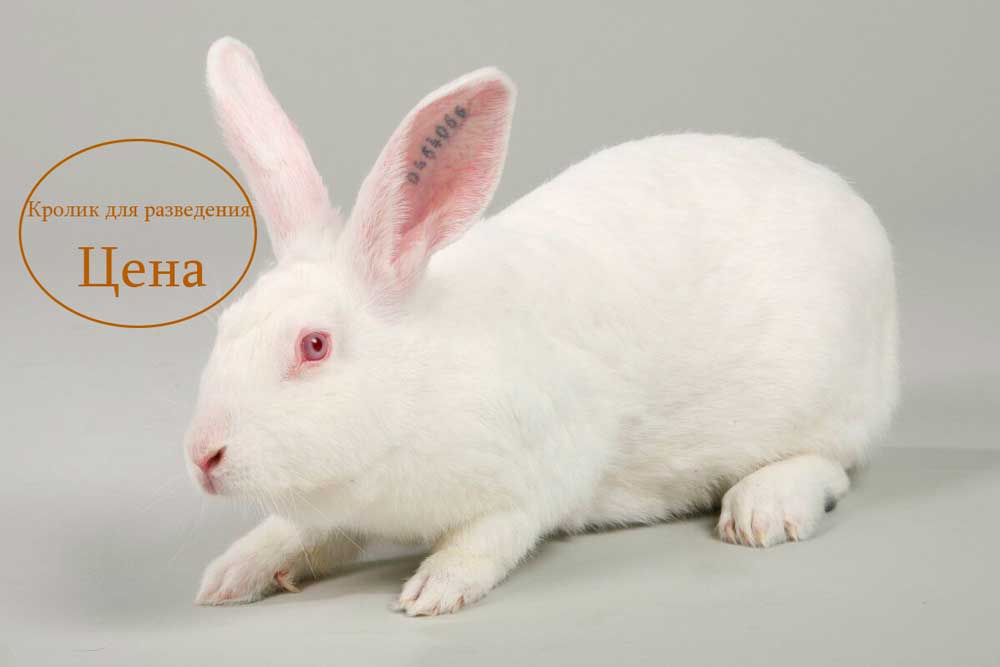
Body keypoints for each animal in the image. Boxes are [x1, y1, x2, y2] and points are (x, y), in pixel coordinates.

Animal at [185, 36, 899, 616]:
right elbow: (297, 531)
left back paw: (760, 511)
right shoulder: (328, 507)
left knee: (832, 465)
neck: (418, 378)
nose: (202, 457)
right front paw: (230, 574)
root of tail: (860, 217)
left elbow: (488, 538)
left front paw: (434, 590)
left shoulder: (537, 477)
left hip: (828, 399)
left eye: (315, 345)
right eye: (227, 324)